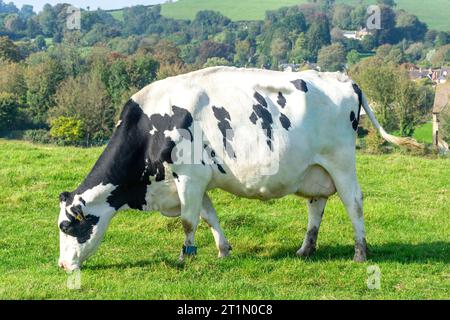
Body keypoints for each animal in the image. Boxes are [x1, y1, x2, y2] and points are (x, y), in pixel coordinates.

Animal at [58, 67, 420, 270]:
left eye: (66, 227)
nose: (62, 265)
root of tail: (343, 78)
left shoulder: (188, 177)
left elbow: (188, 221)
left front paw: (185, 258)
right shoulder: (196, 182)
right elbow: (209, 217)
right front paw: (223, 251)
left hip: (341, 162)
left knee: (354, 203)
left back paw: (360, 253)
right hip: (315, 168)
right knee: (316, 205)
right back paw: (306, 249)